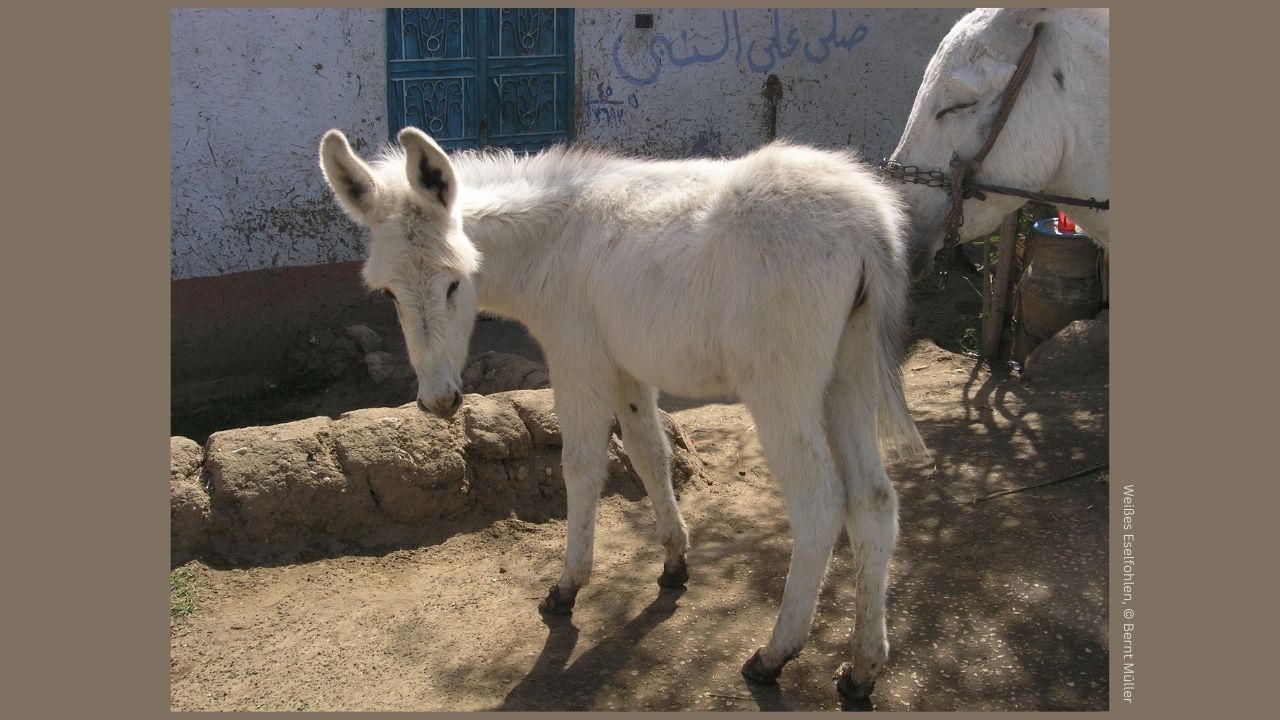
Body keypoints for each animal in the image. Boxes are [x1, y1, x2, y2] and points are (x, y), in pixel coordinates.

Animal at [320, 126, 931, 696]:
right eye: (390, 295)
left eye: (454, 284)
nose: (439, 402)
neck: (551, 244)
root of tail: (866, 222)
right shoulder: (628, 371)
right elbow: (649, 457)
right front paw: (675, 563)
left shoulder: (578, 361)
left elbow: (582, 468)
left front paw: (569, 585)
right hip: (849, 378)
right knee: (874, 500)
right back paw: (863, 668)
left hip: (782, 388)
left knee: (820, 503)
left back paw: (774, 656)